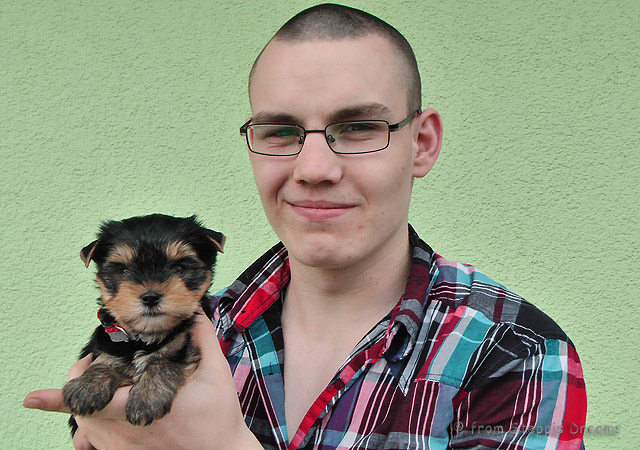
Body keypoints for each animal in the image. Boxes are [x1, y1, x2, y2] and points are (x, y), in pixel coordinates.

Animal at [62, 214, 225, 432]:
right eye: (123, 270)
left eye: (179, 267)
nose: (150, 297)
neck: (146, 335)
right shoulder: (110, 341)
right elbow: (106, 359)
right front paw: (87, 386)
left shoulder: (186, 345)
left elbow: (165, 362)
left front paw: (147, 399)